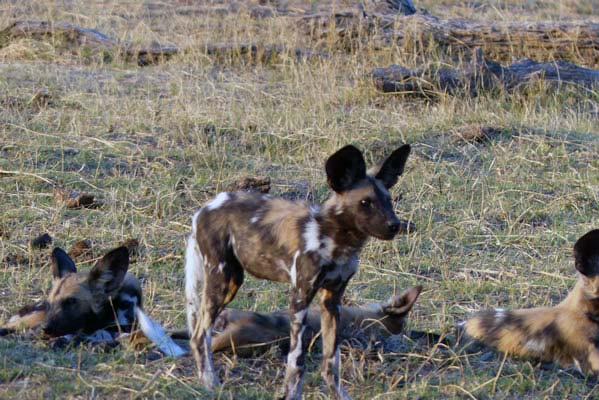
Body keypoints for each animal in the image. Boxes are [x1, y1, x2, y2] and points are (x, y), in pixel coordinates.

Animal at [186, 143, 412, 396]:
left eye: (389, 200)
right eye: (365, 203)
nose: (395, 225)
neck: (337, 241)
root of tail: (205, 208)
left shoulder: (332, 301)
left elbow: (331, 361)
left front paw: (337, 394)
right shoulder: (300, 298)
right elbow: (296, 362)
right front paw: (291, 394)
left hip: (231, 281)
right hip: (223, 280)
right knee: (199, 336)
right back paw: (210, 384)